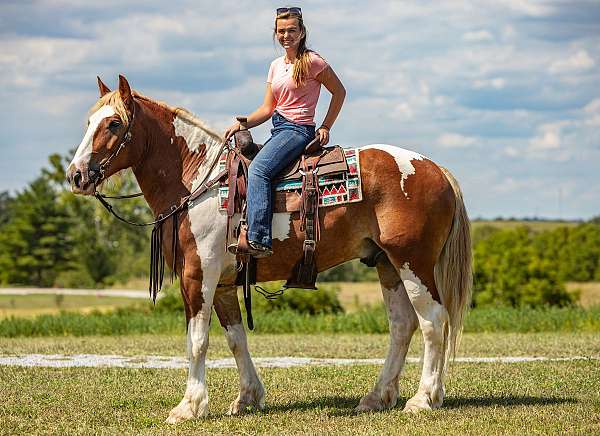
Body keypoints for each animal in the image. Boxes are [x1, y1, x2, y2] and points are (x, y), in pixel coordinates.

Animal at [67, 75, 474, 422]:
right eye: (88, 122)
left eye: (113, 124)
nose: (76, 175)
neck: (198, 180)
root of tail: (436, 169)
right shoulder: (225, 283)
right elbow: (236, 339)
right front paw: (247, 397)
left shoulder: (198, 275)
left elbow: (197, 341)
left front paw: (189, 406)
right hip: (387, 264)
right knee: (402, 325)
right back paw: (377, 397)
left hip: (413, 263)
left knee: (433, 322)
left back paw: (424, 399)